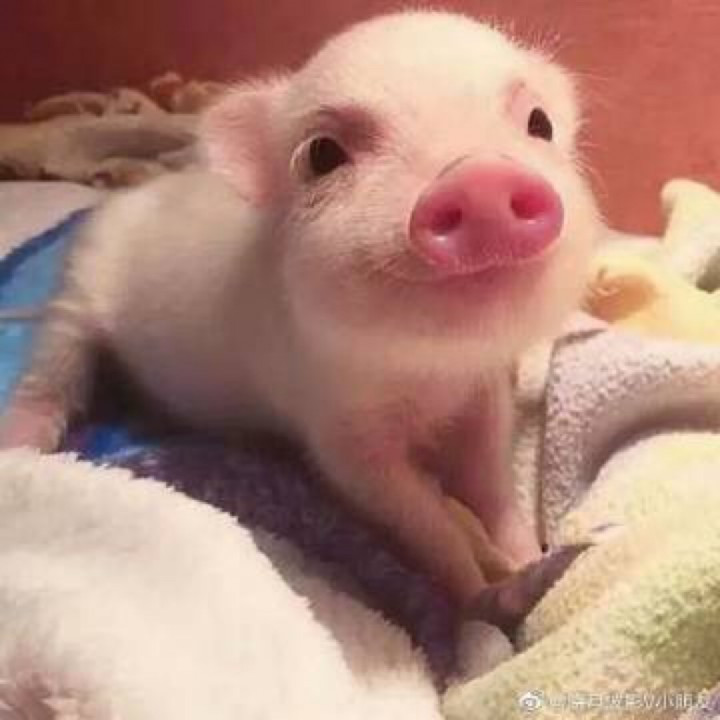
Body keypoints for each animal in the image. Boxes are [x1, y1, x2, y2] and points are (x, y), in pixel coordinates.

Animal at [0, 11, 601, 607]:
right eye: (323, 154)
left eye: (539, 123)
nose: (481, 178)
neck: (430, 372)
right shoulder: (336, 431)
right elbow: (417, 515)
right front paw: (477, 594)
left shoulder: (484, 393)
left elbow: (489, 480)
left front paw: (529, 559)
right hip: (78, 287)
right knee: (51, 370)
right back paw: (21, 444)